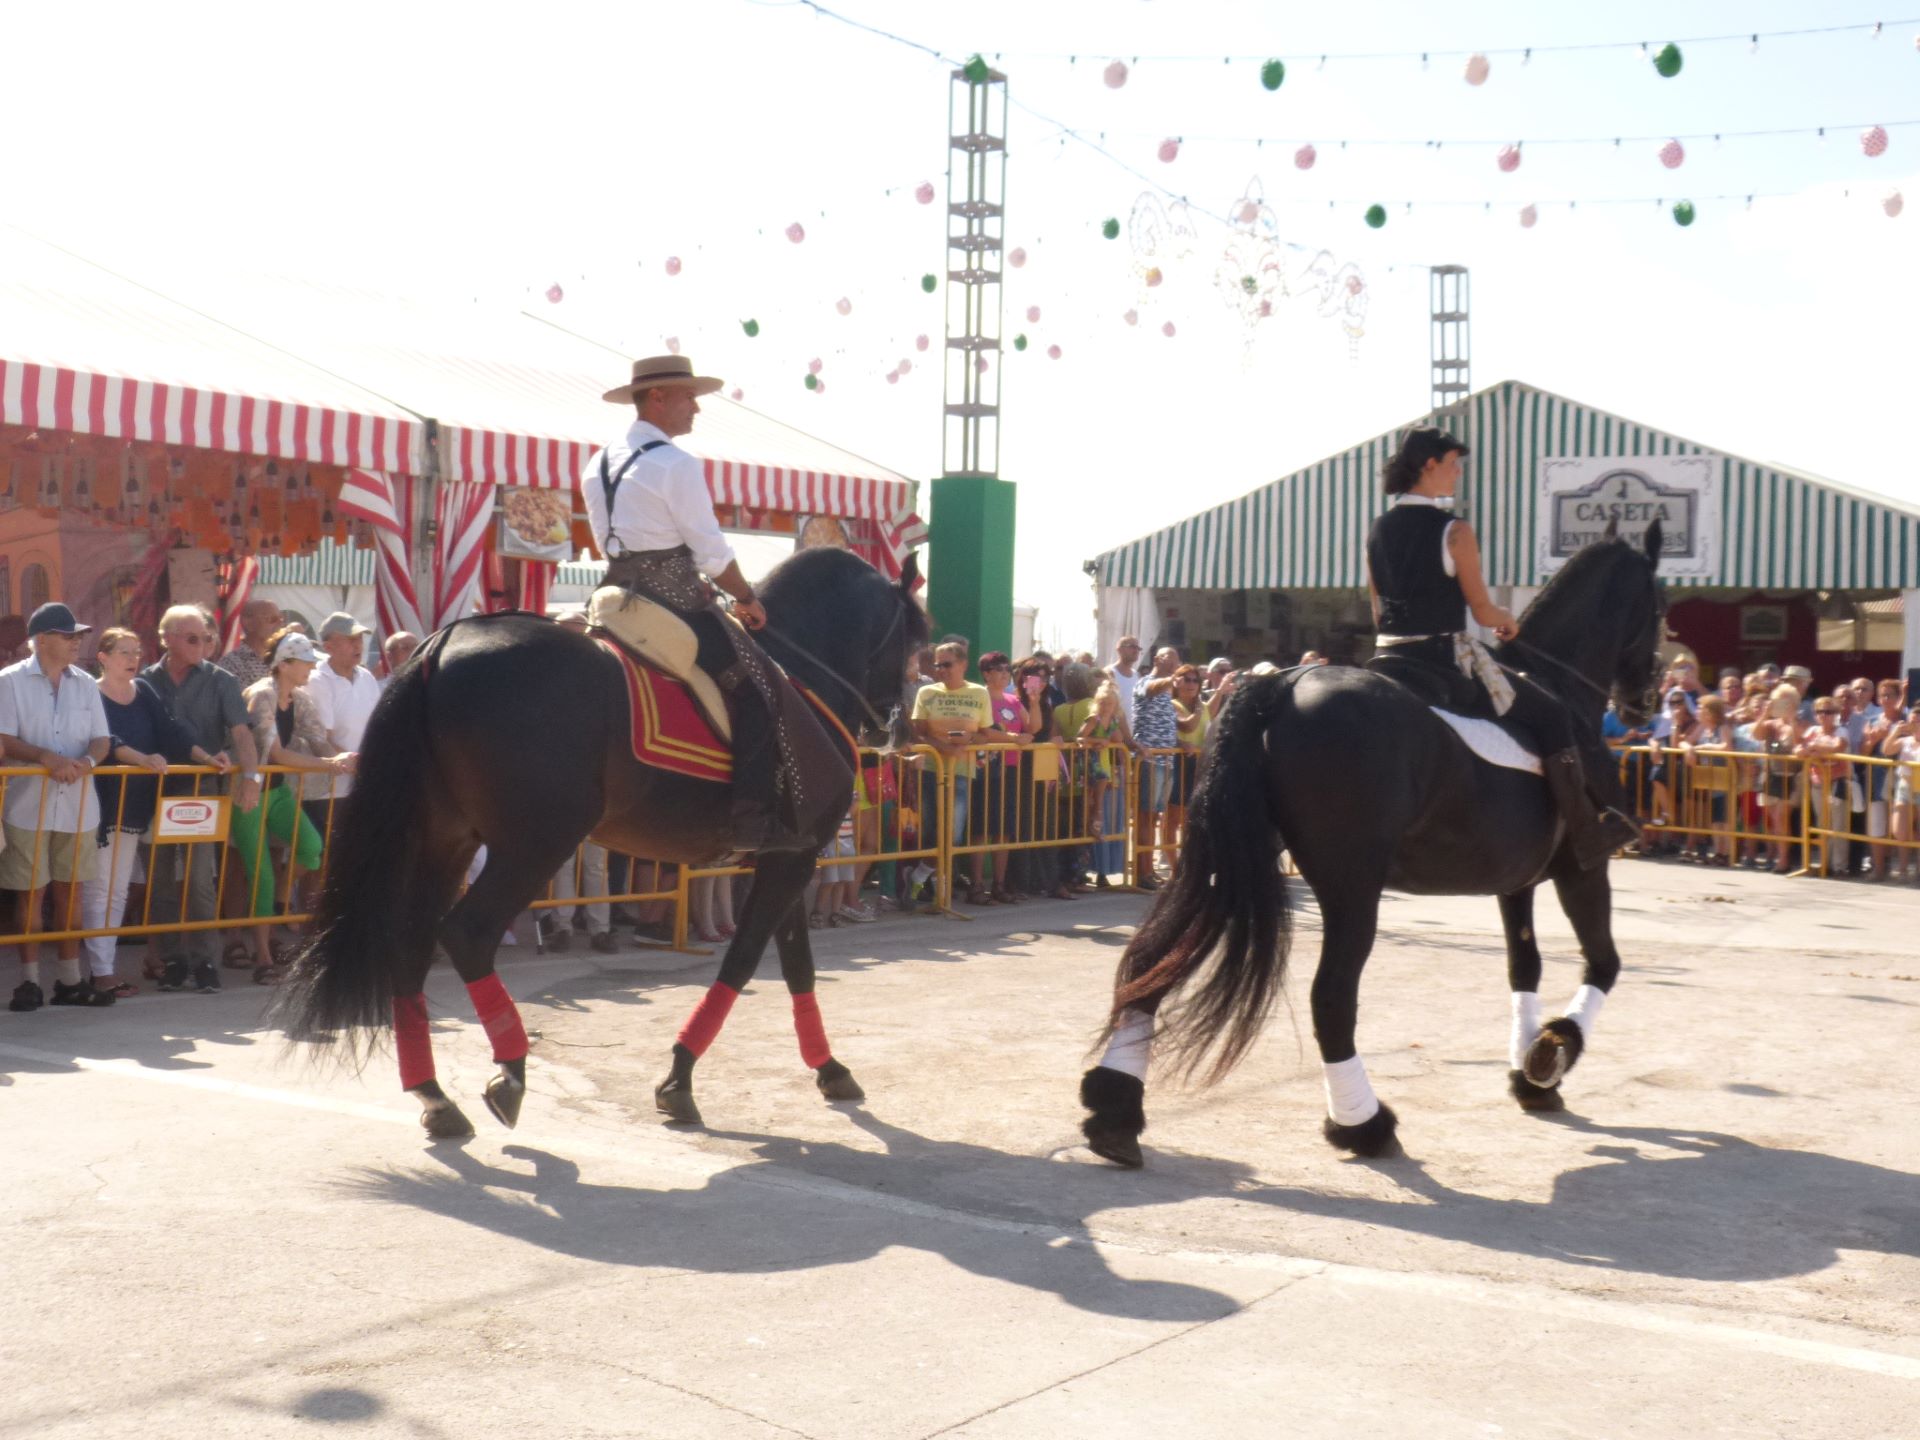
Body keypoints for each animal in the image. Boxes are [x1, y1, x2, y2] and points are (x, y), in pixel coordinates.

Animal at [274, 545, 925, 1136]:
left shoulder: (787, 853)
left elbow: (797, 966)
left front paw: (829, 1068)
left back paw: (435, 1096)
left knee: (409, 942)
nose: (893, 728)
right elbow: (744, 962)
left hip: (445, 839)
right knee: (467, 933)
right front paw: (679, 1080)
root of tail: (443, 645)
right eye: (916, 640)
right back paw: (510, 1072)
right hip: (536, 843)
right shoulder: (794, 858)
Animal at [1082, 526, 1666, 1167]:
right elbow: (1605, 962)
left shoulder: (1516, 881)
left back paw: (1114, 1113)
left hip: (1226, 862)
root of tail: (1283, 684)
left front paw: (1528, 1074)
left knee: (1153, 962)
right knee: (1332, 999)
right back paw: (1364, 1125)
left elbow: (1524, 967)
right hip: (1350, 887)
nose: (1646, 699)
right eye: (1661, 605)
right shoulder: (1583, 868)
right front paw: (1551, 1053)